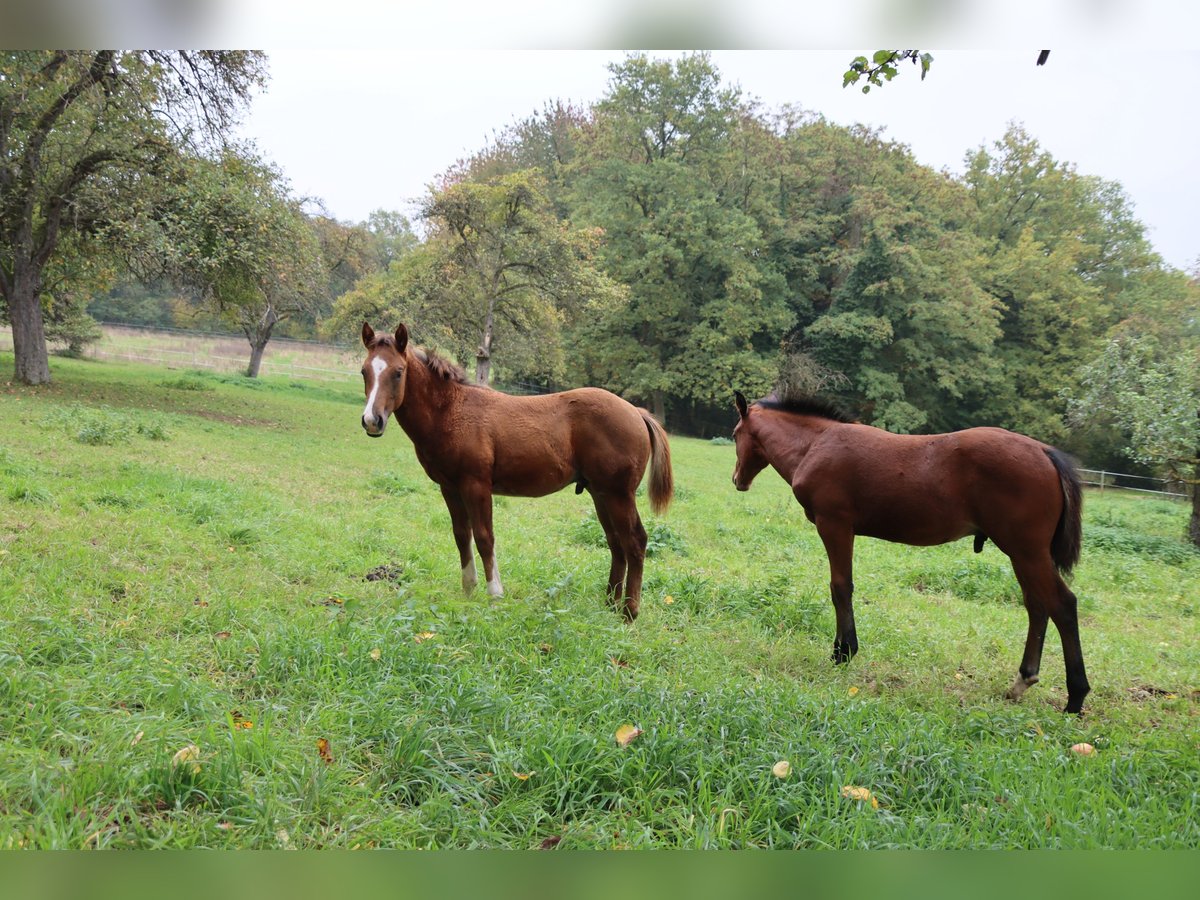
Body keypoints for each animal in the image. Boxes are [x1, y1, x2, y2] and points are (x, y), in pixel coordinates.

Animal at [358, 322, 673, 621]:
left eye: (398, 372)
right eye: (364, 371)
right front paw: (468, 593)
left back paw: (629, 612)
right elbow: (461, 536)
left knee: (635, 541)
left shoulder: (476, 485)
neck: (451, 411)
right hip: (600, 493)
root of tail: (636, 412)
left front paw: (495, 595)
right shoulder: (449, 487)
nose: (372, 421)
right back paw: (609, 606)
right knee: (616, 543)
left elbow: (484, 537)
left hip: (619, 494)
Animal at [731, 391, 1090, 714]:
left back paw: (1075, 697)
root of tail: (1044, 451)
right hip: (1021, 554)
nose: (737, 480)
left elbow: (840, 587)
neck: (815, 444)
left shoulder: (834, 524)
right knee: (1037, 606)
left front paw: (842, 652)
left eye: (735, 434)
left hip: (1028, 552)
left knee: (1062, 604)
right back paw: (1022, 682)